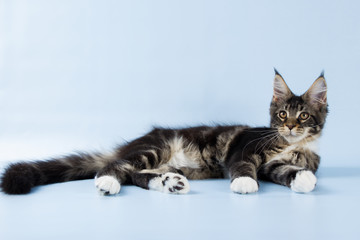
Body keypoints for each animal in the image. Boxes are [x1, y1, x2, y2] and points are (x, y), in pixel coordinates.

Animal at [0, 69, 328, 195]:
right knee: (117, 167)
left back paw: (170, 184)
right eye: (282, 114)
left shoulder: (274, 165)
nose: (290, 126)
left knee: (135, 175)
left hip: (170, 162)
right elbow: (244, 168)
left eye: (303, 116)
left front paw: (304, 179)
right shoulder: (244, 150)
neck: (292, 145)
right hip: (154, 148)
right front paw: (245, 184)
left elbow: (287, 172)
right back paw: (108, 182)